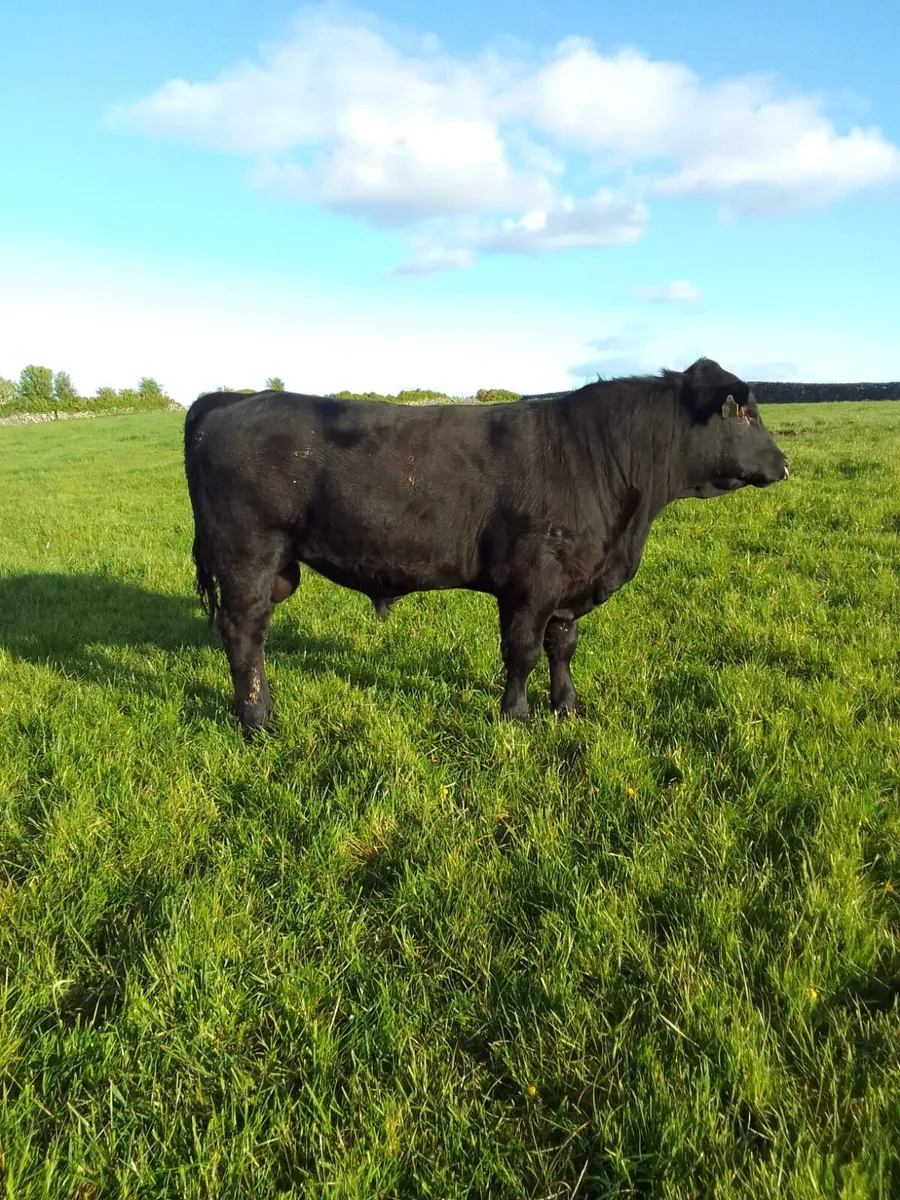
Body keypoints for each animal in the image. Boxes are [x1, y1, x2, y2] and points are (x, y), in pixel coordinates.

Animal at [183, 358, 788, 736]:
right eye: (744, 413)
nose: (784, 464)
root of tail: (231, 400)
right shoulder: (530, 582)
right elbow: (521, 652)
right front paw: (515, 717)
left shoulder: (568, 586)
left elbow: (562, 647)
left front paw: (566, 709)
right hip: (248, 555)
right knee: (244, 635)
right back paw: (259, 722)